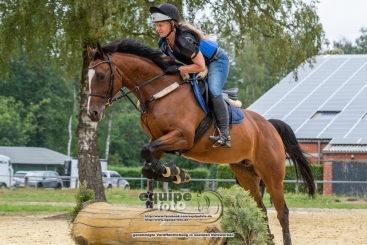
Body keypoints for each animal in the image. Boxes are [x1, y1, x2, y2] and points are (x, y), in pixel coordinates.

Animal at [86, 38, 316, 245]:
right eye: (87, 79)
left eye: (102, 75)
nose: (93, 114)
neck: (159, 92)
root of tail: (269, 126)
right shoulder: (157, 138)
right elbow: (147, 161)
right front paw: (174, 173)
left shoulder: (182, 136)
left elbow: (146, 151)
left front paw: (175, 172)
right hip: (245, 173)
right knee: (260, 209)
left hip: (271, 174)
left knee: (282, 212)